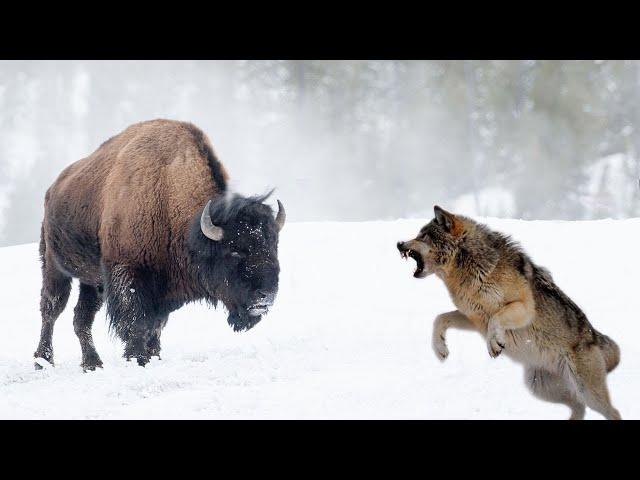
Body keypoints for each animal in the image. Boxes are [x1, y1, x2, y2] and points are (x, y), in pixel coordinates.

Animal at [35, 118, 284, 370]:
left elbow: (155, 326)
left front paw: (153, 356)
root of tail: (52, 189)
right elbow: (136, 323)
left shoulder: (164, 290)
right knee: (51, 309)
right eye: (234, 251)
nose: (266, 296)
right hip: (54, 267)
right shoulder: (129, 273)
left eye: (273, 246)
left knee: (82, 317)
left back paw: (92, 364)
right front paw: (137, 358)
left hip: (92, 282)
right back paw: (43, 361)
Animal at [396, 206, 620, 420]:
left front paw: (494, 344)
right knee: (578, 407)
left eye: (423, 236)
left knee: (612, 411)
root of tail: (594, 335)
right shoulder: (474, 318)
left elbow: (496, 319)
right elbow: (440, 318)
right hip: (539, 388)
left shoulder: (523, 307)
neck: (468, 269)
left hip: (587, 393)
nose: (399, 243)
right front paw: (440, 349)